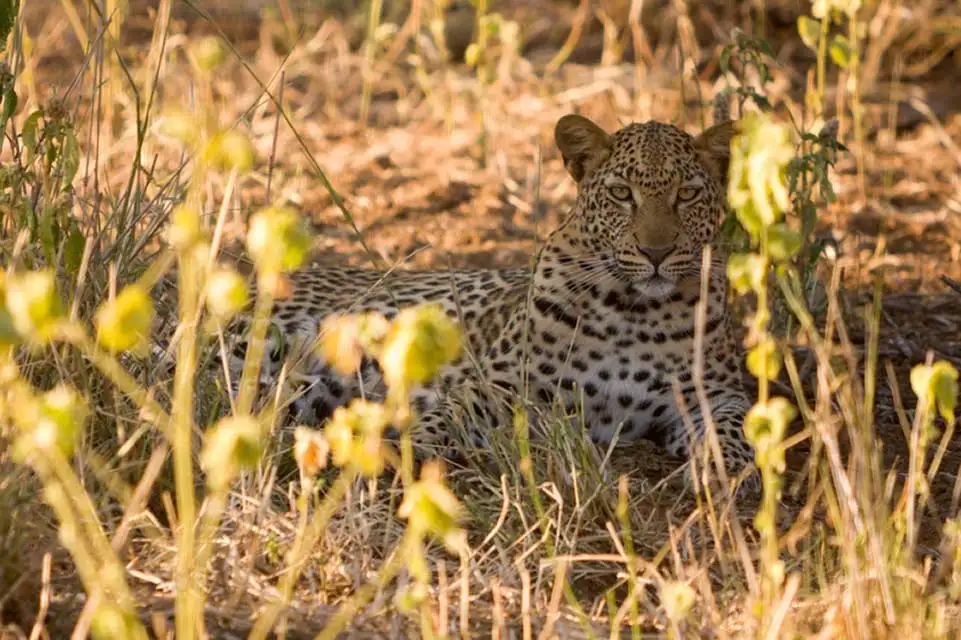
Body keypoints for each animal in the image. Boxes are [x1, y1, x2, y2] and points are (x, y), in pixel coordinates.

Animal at [168, 113, 758, 491]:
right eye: (621, 194)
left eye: (687, 194)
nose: (656, 252)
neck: (635, 312)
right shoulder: (499, 388)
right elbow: (444, 416)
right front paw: (401, 453)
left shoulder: (712, 394)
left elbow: (736, 424)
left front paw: (726, 470)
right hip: (255, 347)